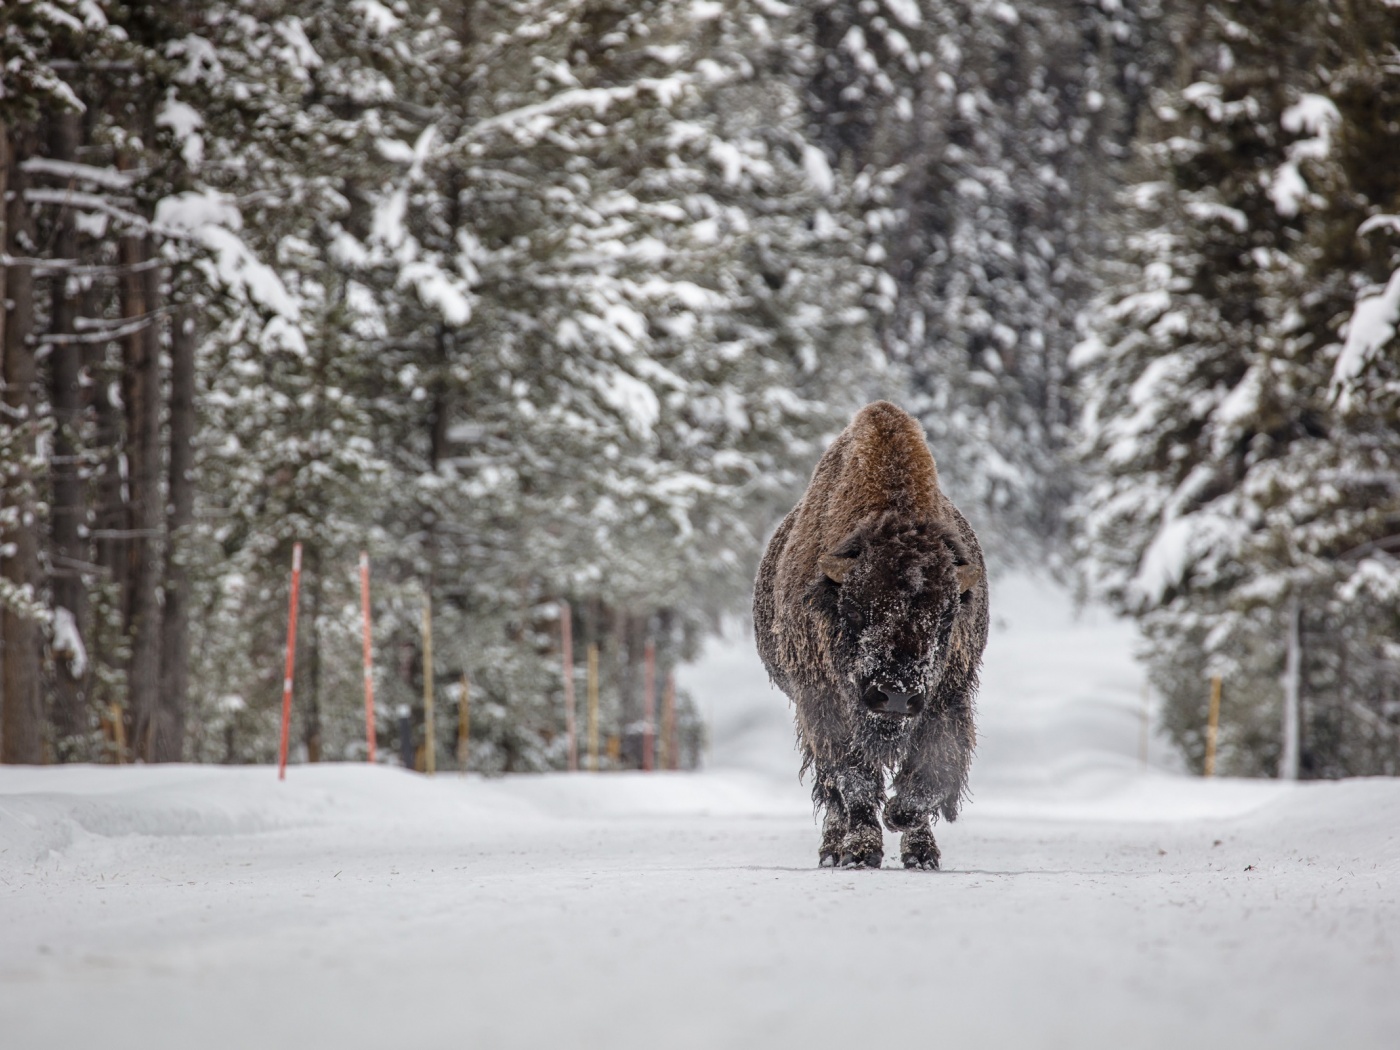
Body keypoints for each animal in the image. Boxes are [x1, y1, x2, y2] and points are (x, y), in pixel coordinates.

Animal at [750, 403, 991, 873]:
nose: (895, 695)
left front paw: (905, 825)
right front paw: (861, 851)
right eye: (857, 610)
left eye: (947, 618)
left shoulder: (947, 696)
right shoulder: (824, 703)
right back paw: (833, 849)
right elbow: (854, 780)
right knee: (831, 791)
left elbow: (931, 772)